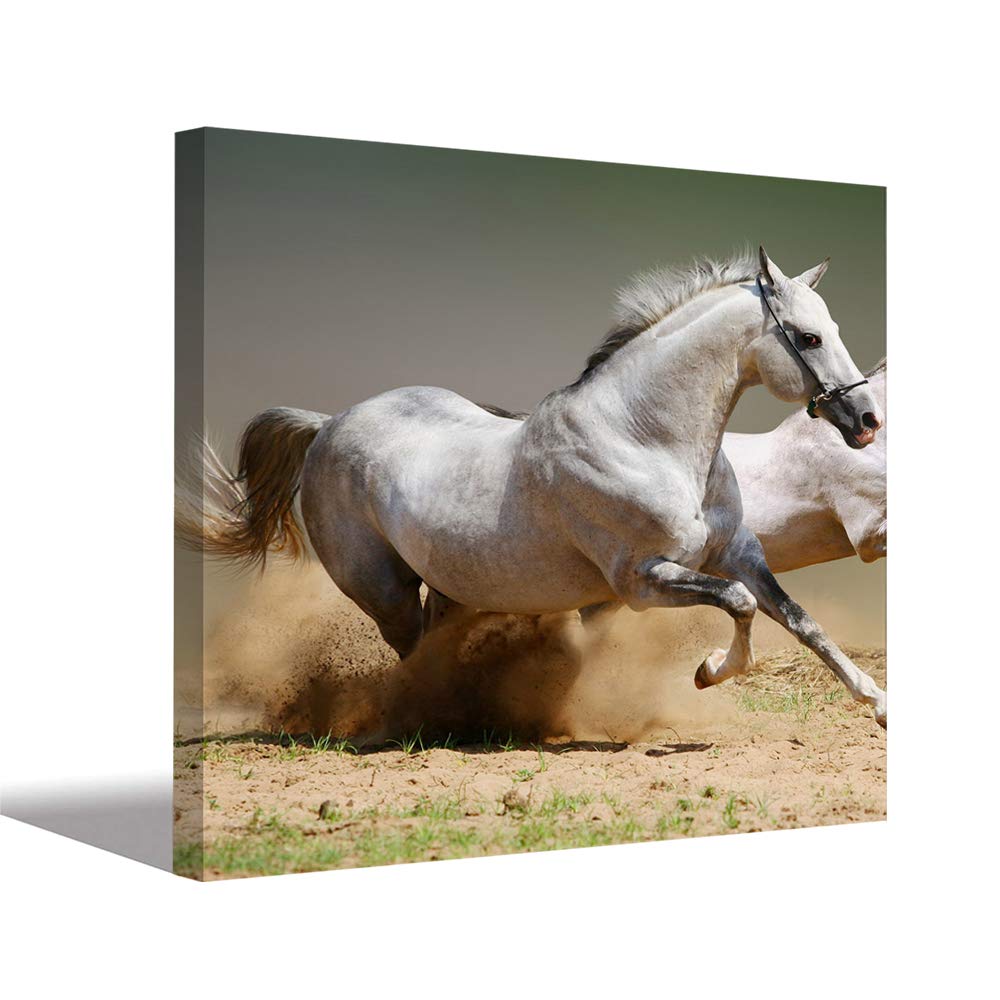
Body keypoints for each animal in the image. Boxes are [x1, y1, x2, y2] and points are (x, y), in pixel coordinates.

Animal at [178, 247, 888, 727]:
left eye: (833, 330)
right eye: (808, 337)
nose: (866, 421)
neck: (644, 438)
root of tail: (328, 424)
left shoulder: (738, 552)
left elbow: (800, 621)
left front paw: (877, 703)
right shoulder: (641, 582)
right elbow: (739, 606)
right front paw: (709, 671)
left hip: (452, 588)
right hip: (384, 591)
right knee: (412, 656)